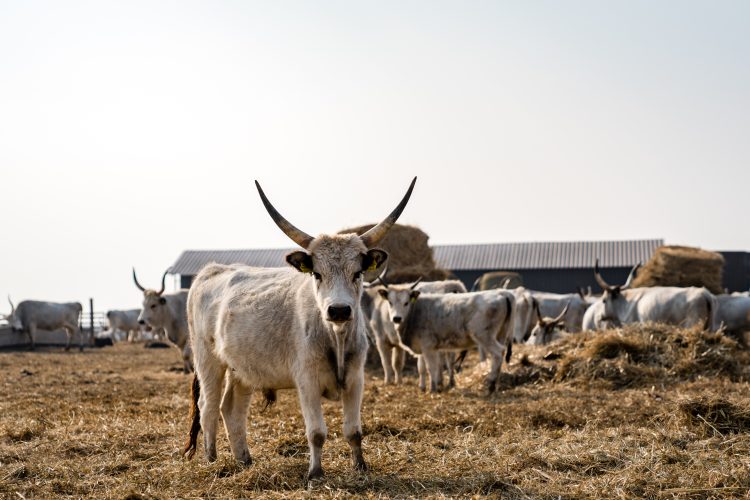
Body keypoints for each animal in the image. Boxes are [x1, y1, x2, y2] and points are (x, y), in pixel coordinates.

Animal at [182, 177, 418, 480]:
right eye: (317, 274)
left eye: (358, 273)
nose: (338, 310)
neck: (335, 337)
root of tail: (211, 270)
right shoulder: (306, 381)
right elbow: (316, 432)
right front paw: (315, 473)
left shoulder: (356, 379)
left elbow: (354, 431)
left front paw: (360, 467)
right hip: (207, 360)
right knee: (208, 407)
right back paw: (212, 459)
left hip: (242, 369)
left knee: (231, 408)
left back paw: (244, 460)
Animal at [378, 288, 516, 392]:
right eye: (390, 302)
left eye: (406, 302)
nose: (396, 318)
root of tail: (503, 292)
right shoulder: (423, 347)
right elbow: (422, 367)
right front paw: (423, 387)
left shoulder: (428, 347)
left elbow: (431, 367)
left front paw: (433, 389)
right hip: (501, 334)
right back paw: (495, 384)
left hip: (484, 335)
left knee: (498, 352)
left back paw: (491, 384)